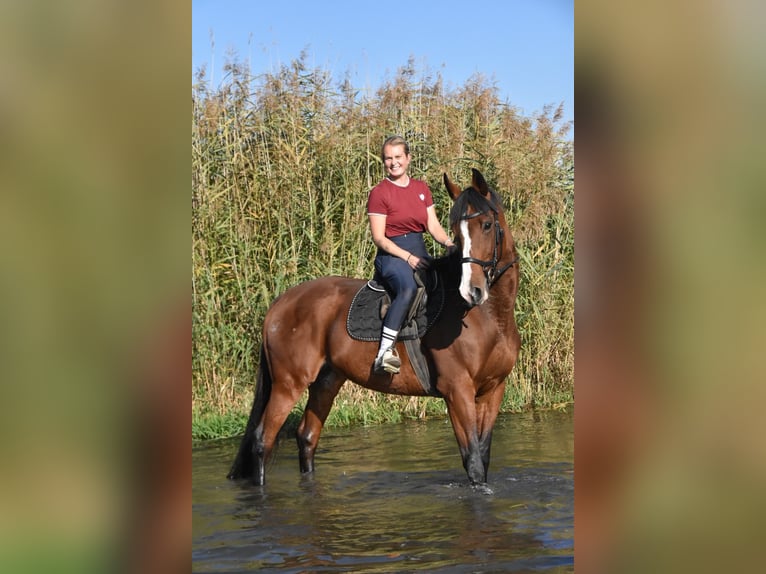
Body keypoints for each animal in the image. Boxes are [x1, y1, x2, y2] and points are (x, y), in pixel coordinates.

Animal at [228, 168, 520, 486]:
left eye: (488, 225)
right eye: (456, 231)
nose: (472, 291)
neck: (491, 318)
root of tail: (279, 305)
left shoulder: (494, 390)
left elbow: (484, 457)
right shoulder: (457, 390)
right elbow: (474, 462)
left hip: (327, 380)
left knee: (306, 436)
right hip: (288, 383)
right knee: (262, 441)